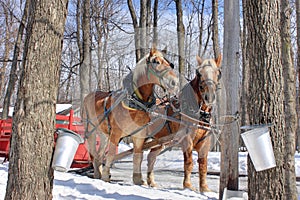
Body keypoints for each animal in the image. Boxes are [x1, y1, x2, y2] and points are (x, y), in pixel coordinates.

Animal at [81, 46, 179, 185]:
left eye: (169, 63)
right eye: (156, 62)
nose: (174, 82)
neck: (136, 102)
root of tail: (88, 96)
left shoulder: (139, 136)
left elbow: (138, 156)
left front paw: (138, 179)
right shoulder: (116, 134)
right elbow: (111, 154)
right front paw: (106, 176)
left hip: (104, 133)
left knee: (100, 154)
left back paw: (98, 172)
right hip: (91, 129)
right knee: (93, 152)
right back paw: (97, 173)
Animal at [146, 54, 221, 191]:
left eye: (217, 73)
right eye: (199, 73)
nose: (209, 96)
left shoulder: (205, 141)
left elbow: (203, 165)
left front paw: (204, 188)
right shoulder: (187, 139)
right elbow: (189, 162)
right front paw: (188, 185)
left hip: (159, 141)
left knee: (151, 157)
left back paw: (151, 182)